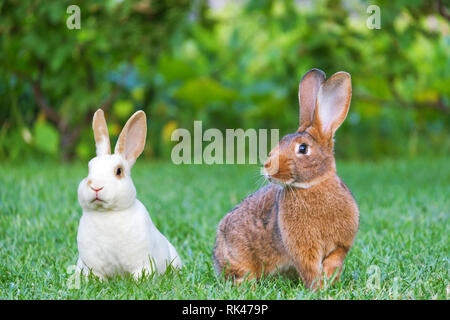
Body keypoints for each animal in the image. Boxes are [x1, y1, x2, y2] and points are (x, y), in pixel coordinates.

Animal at [75, 108, 181, 280]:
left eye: (119, 171)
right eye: (89, 169)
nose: (96, 187)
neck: (108, 213)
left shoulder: (142, 262)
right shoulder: (93, 266)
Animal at [213, 69, 360, 288]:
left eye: (303, 148)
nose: (268, 166)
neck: (312, 185)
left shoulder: (340, 245)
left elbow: (334, 261)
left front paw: (329, 281)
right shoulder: (303, 250)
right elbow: (309, 268)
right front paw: (319, 287)